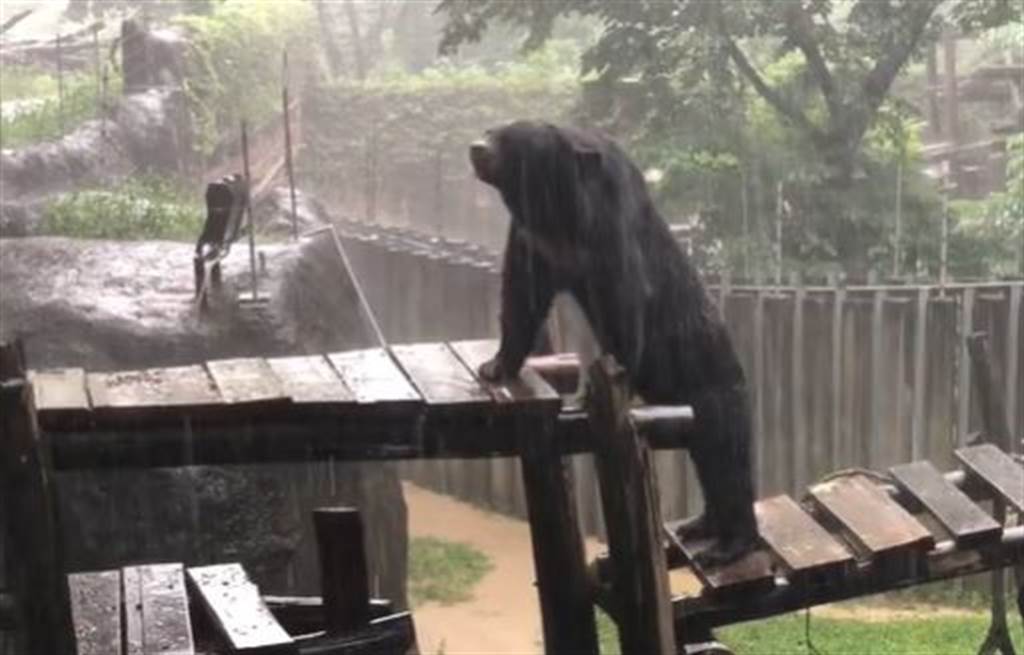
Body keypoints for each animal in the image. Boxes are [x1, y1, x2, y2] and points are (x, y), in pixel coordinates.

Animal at [471, 121, 761, 569]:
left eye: (510, 138)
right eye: (492, 130)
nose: (476, 148)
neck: (561, 215)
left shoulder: (608, 235)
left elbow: (623, 311)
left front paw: (587, 393)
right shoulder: (535, 241)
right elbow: (522, 296)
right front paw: (495, 365)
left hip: (713, 389)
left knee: (725, 457)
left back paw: (730, 544)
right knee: (707, 461)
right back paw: (700, 525)